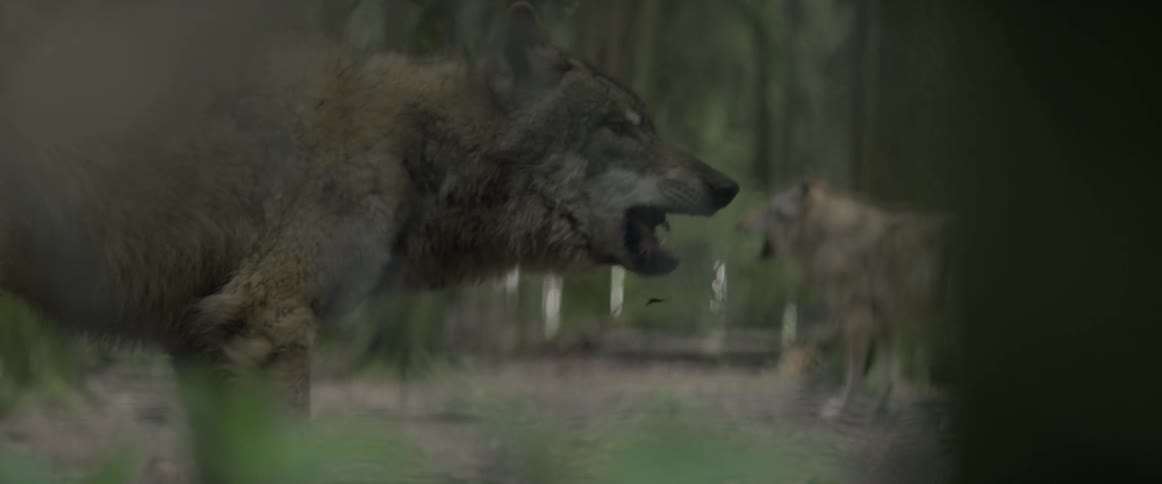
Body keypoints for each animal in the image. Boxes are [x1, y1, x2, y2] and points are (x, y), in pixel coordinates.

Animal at [0, 0, 737, 416]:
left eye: (647, 123)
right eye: (623, 128)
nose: (729, 185)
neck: (407, 147)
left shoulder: (202, 342)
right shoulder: (270, 321)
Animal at [737, 180, 949, 418]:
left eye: (772, 211)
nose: (740, 223)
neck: (826, 238)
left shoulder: (858, 319)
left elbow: (854, 372)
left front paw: (841, 406)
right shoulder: (884, 323)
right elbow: (887, 376)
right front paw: (880, 407)